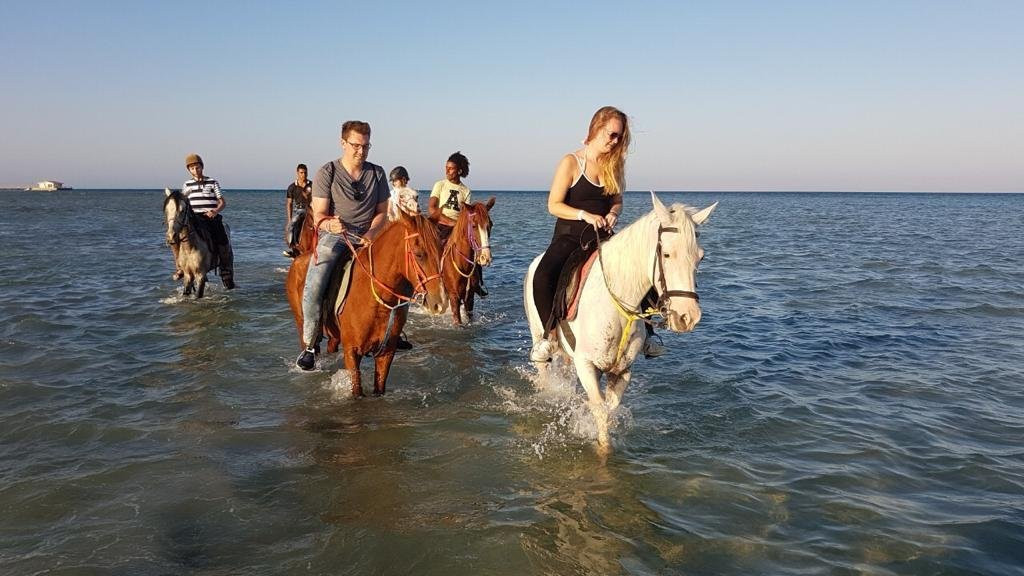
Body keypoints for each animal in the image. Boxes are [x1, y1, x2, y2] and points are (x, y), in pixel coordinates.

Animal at [286, 211, 447, 396]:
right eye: (419, 254)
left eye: (442, 251)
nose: (440, 303)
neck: (375, 301)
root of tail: (299, 259)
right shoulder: (352, 352)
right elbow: (357, 390)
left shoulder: (386, 353)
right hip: (302, 324)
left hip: (334, 336)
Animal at [523, 192, 717, 452]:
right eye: (666, 254)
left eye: (701, 257)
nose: (688, 317)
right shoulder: (586, 365)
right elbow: (600, 411)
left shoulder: (622, 371)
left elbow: (609, 410)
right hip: (540, 340)